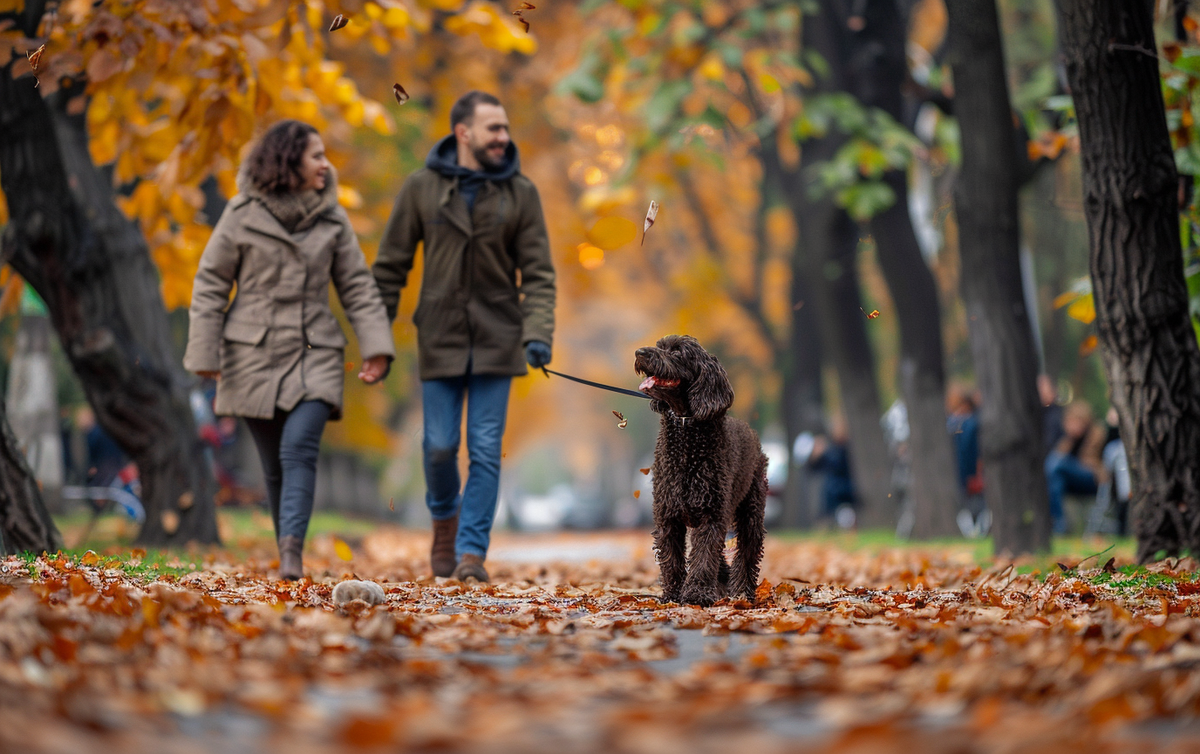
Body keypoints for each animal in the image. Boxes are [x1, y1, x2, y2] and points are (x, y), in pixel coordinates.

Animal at [638, 336, 768, 607]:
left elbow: (704, 557)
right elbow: (672, 560)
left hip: (751, 511)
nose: (639, 352)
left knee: (748, 552)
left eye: (677, 352)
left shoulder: (710, 516)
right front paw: (673, 594)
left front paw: (697, 594)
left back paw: (742, 593)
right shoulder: (668, 516)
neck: (686, 425)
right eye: (660, 346)